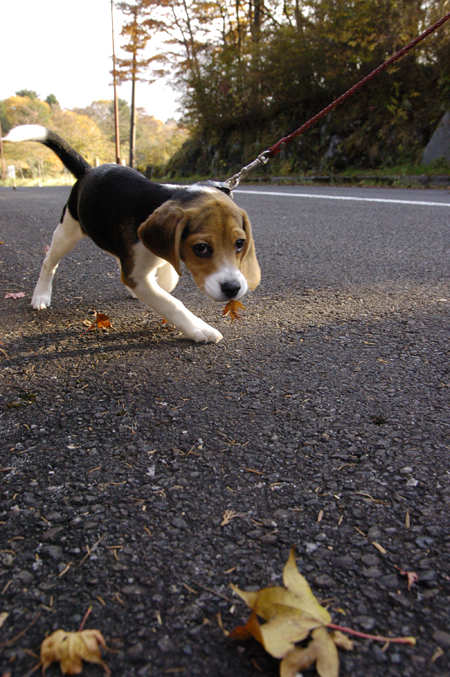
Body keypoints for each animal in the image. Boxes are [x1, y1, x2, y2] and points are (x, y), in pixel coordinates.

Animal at [3, 124, 260, 340]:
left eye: (239, 243)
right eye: (201, 248)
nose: (233, 288)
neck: (160, 200)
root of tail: (89, 171)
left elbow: (169, 277)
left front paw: (162, 279)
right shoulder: (137, 275)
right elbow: (170, 302)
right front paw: (199, 329)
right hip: (67, 231)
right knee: (49, 262)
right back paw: (41, 295)